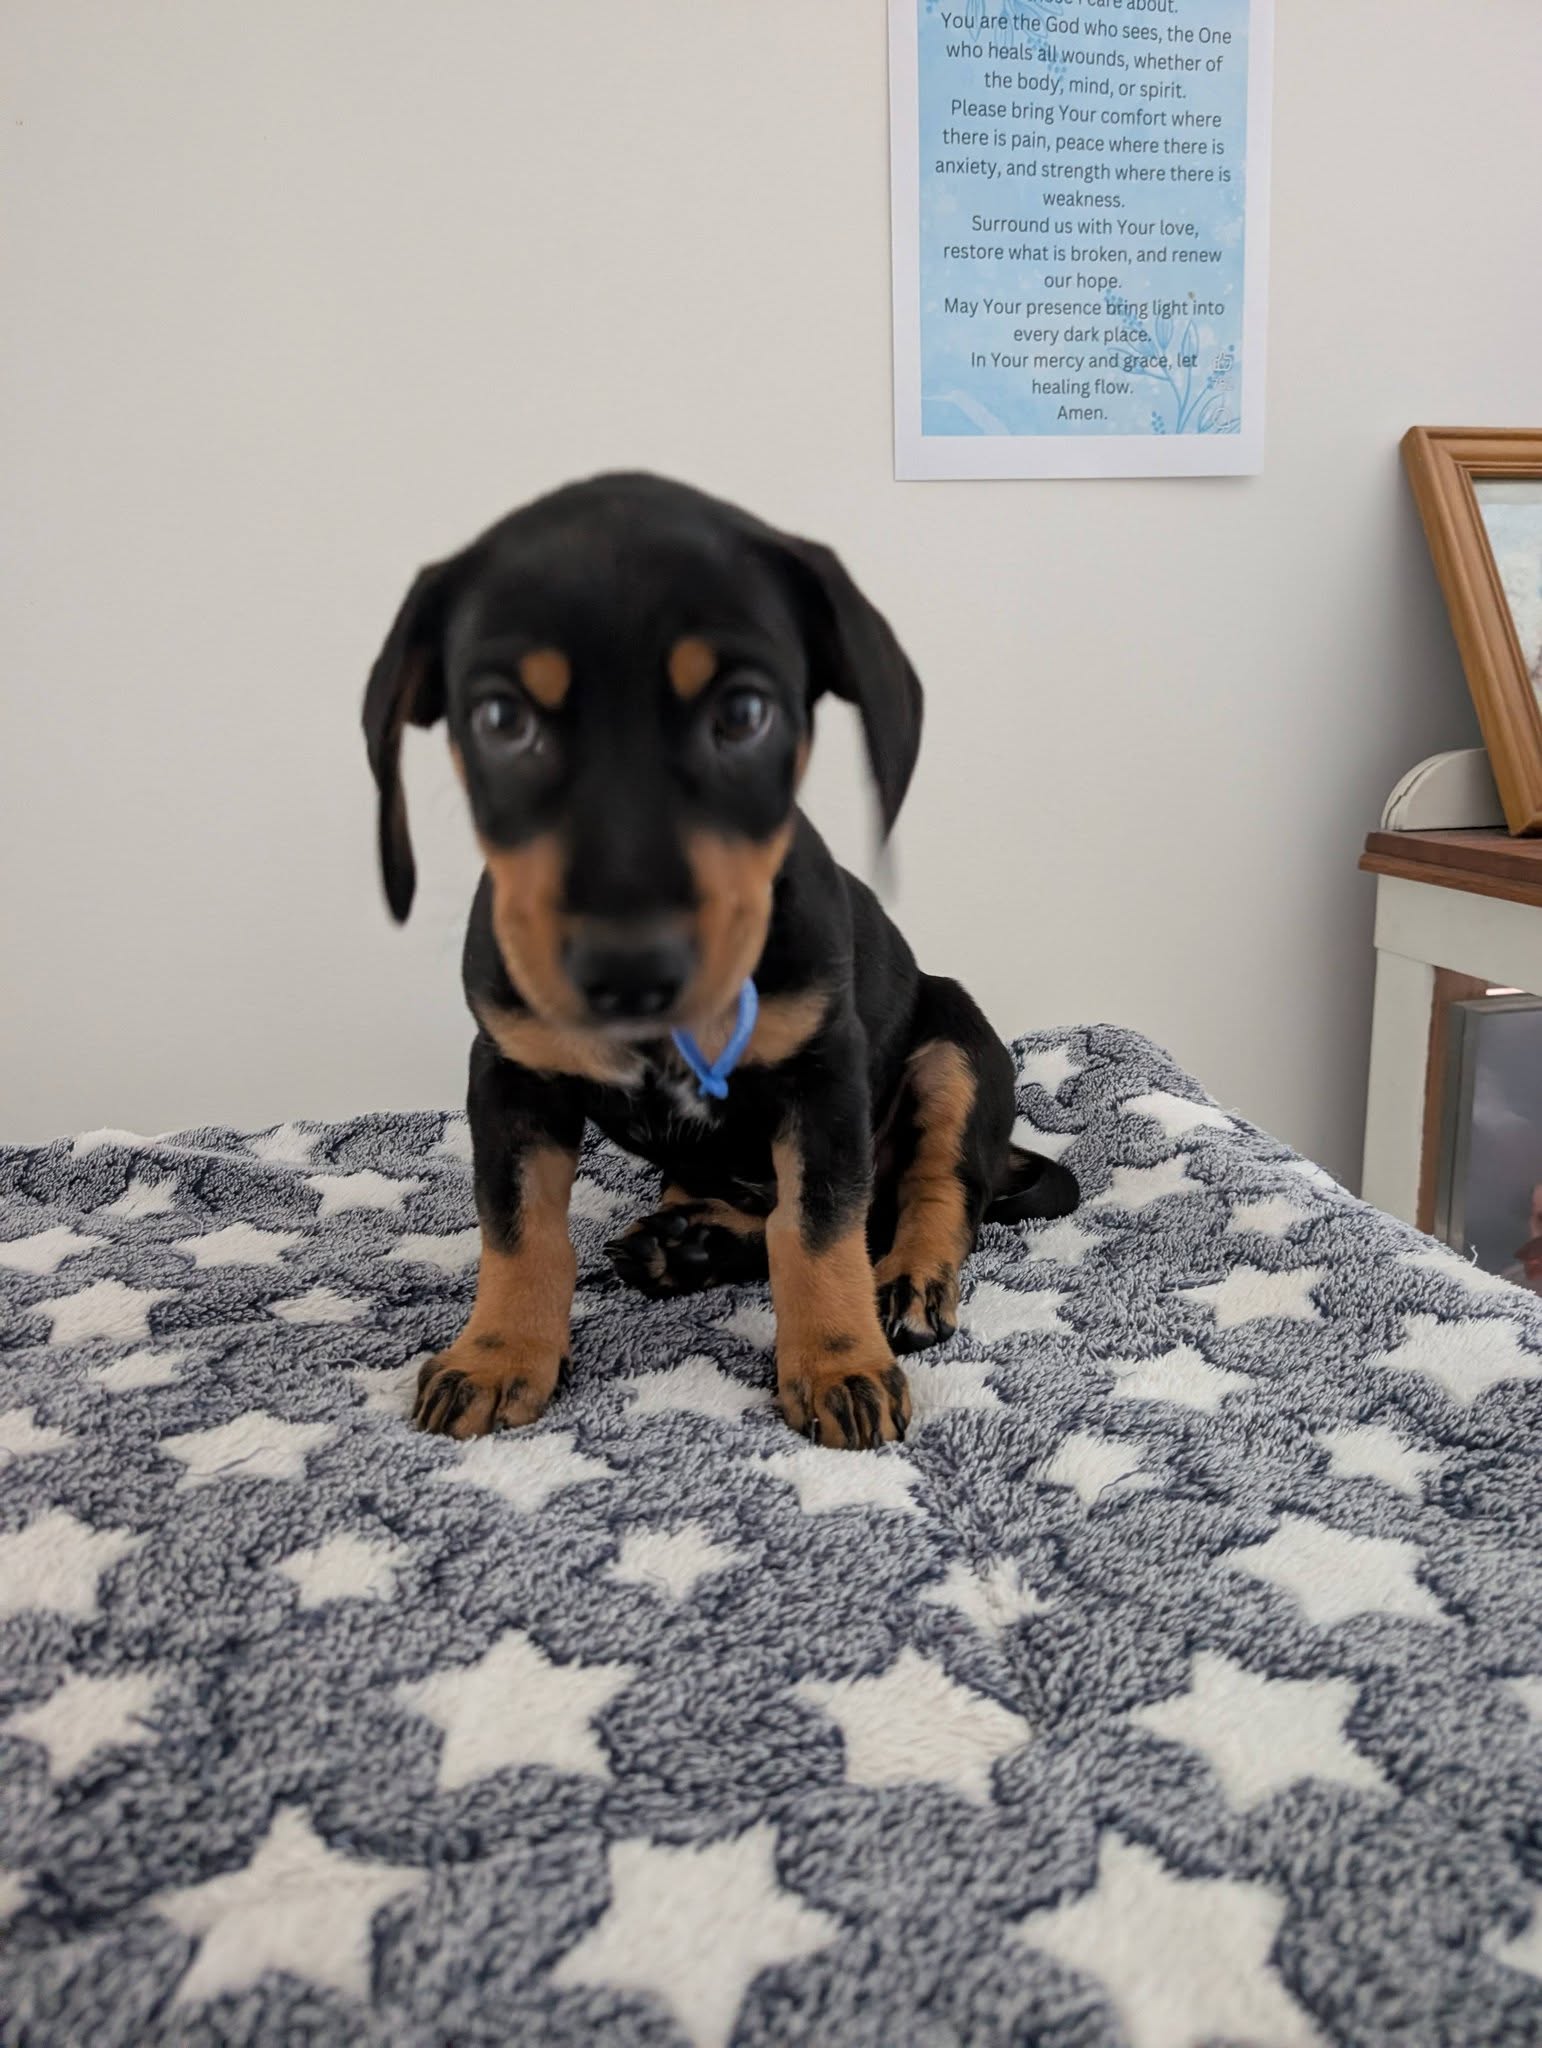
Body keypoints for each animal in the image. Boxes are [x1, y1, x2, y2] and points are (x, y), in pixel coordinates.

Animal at [363, 473, 1078, 1450]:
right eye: (500, 719)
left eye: (743, 713)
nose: (630, 968)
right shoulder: (509, 1075)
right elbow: (517, 1230)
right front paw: (498, 1355)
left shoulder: (825, 1078)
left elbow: (817, 1232)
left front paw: (838, 1364)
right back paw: (689, 1244)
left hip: (956, 1050)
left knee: (930, 1194)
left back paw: (904, 1279)